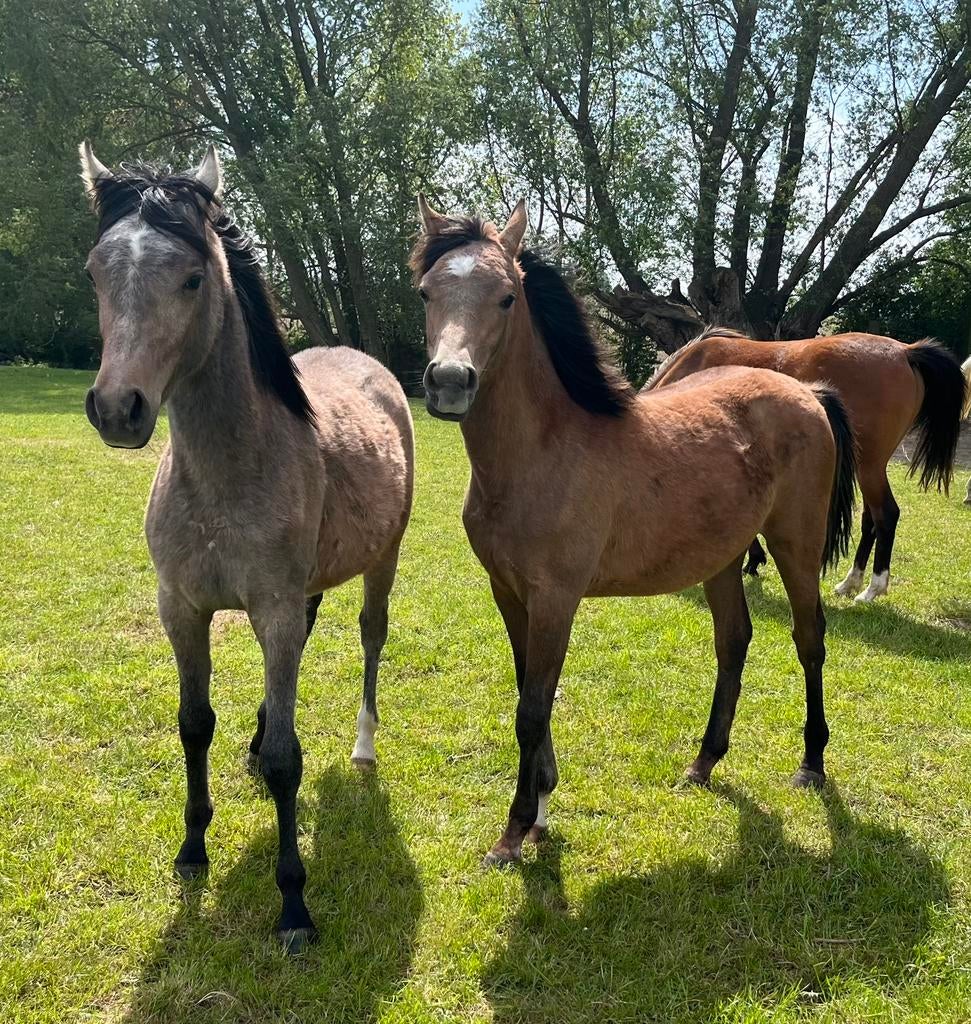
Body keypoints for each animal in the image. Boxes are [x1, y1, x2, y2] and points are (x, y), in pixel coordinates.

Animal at [79, 143, 414, 952]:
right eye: (97, 271)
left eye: (192, 277)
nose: (117, 408)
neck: (226, 472)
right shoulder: (183, 609)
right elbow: (193, 724)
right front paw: (192, 848)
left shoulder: (273, 611)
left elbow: (293, 761)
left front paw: (293, 905)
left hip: (379, 564)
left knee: (370, 637)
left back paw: (362, 746)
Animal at [411, 197, 856, 868]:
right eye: (426, 292)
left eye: (507, 297)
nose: (448, 382)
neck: (543, 452)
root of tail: (806, 390)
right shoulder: (508, 593)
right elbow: (527, 693)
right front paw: (541, 810)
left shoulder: (556, 599)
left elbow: (532, 709)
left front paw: (513, 832)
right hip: (722, 558)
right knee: (734, 641)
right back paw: (703, 762)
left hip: (794, 546)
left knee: (809, 638)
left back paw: (811, 763)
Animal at [648, 328, 966, 602]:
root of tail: (906, 351)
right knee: (870, 519)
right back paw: (850, 582)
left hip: (869, 467)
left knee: (886, 515)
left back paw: (872, 589)